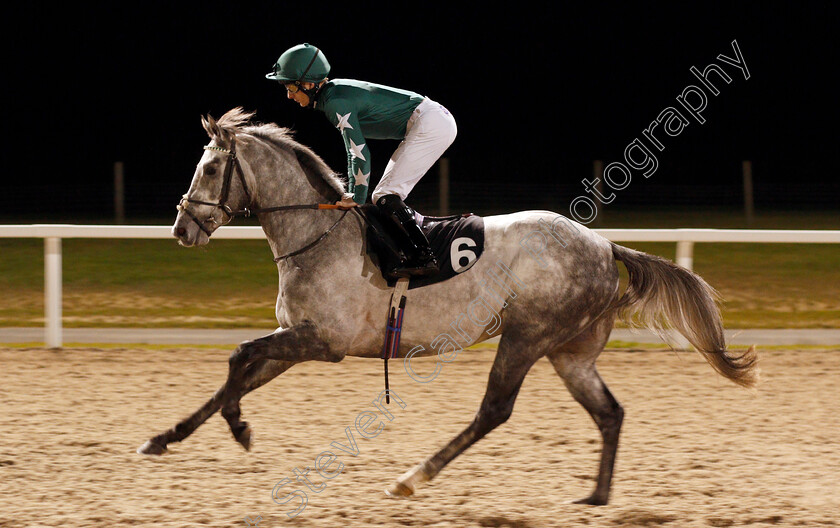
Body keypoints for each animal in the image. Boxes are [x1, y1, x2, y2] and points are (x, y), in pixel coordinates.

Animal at [136, 106, 756, 504]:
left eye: (209, 168)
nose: (181, 229)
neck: (317, 233)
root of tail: (605, 247)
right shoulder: (299, 337)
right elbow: (237, 373)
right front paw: (165, 438)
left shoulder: (325, 341)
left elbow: (239, 356)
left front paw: (239, 428)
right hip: (570, 352)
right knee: (609, 412)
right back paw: (597, 497)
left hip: (526, 335)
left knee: (494, 411)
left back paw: (412, 477)